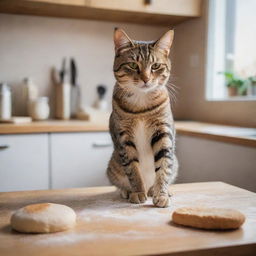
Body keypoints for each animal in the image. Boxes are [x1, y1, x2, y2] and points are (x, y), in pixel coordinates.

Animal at [106, 28, 178, 208]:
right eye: (133, 65)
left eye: (156, 66)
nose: (146, 79)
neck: (141, 107)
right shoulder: (124, 137)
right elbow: (133, 169)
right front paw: (138, 192)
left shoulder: (163, 131)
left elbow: (164, 165)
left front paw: (161, 194)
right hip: (113, 166)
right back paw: (128, 191)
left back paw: (155, 190)